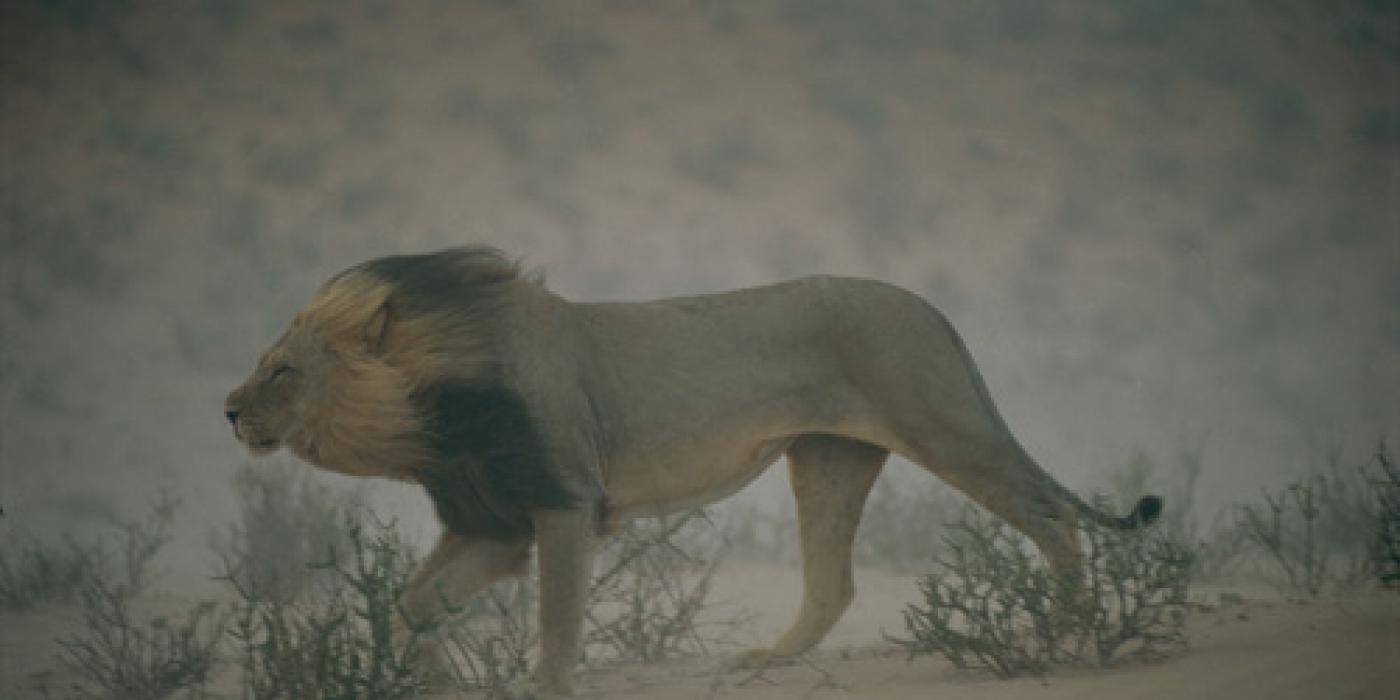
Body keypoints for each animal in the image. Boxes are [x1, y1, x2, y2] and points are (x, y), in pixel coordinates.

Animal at [221, 246, 1159, 694]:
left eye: (283, 372)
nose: (227, 410)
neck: (429, 413)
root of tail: (931, 308)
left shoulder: (564, 503)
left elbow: (557, 617)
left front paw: (541, 685)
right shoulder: (494, 526)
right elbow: (415, 605)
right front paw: (440, 682)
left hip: (944, 425)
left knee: (1052, 515)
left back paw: (1063, 631)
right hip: (829, 456)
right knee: (834, 585)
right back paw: (767, 664)